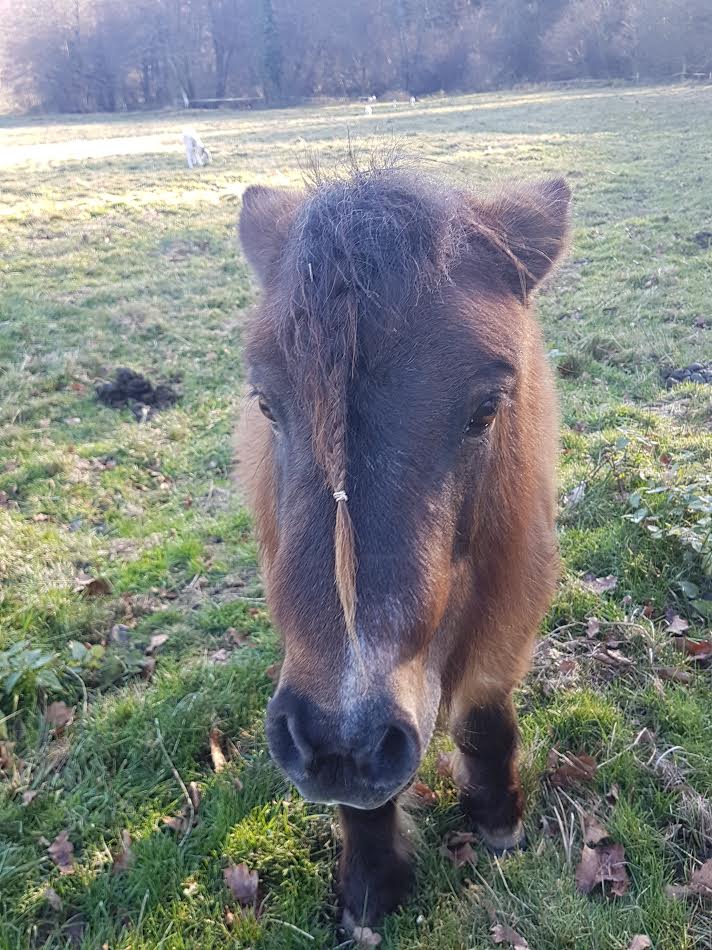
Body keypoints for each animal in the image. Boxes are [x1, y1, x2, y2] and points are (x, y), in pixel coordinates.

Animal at [236, 165, 572, 928]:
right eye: (266, 403)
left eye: (486, 409)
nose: (343, 744)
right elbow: (364, 809)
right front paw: (371, 886)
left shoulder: (512, 606)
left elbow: (484, 720)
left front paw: (498, 819)